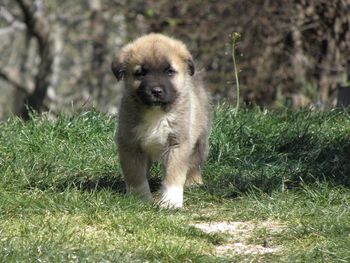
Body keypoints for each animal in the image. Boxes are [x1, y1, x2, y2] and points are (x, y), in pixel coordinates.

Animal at [112, 33, 211, 208]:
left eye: (169, 72)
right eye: (141, 73)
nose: (156, 91)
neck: (156, 113)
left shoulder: (177, 143)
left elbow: (174, 174)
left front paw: (171, 201)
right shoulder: (130, 144)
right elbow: (135, 175)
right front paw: (139, 199)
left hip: (200, 138)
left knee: (195, 162)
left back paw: (193, 182)